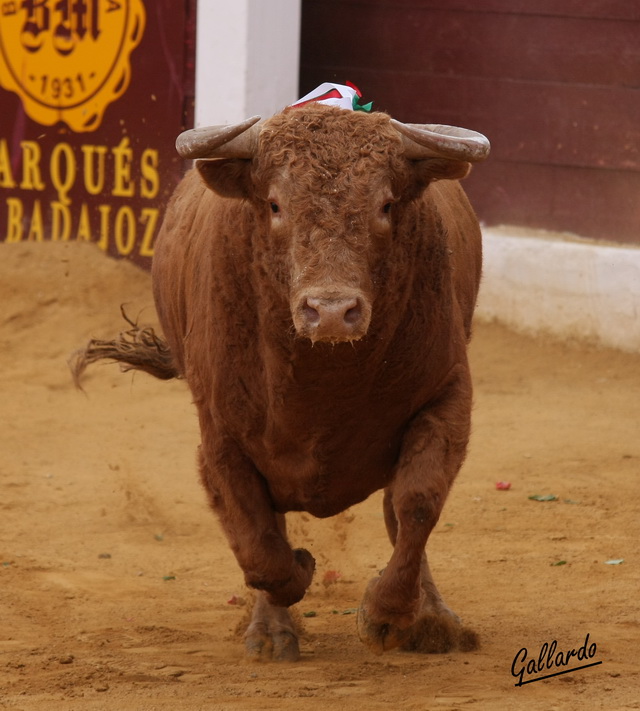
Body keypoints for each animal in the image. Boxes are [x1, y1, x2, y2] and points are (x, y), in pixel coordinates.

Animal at [71, 103, 490, 664]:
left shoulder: (446, 398)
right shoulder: (221, 436)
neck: (323, 385)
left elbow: (416, 504)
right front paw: (282, 605)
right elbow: (259, 542)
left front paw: (388, 614)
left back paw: (432, 618)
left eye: (385, 205)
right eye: (274, 204)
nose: (331, 312)